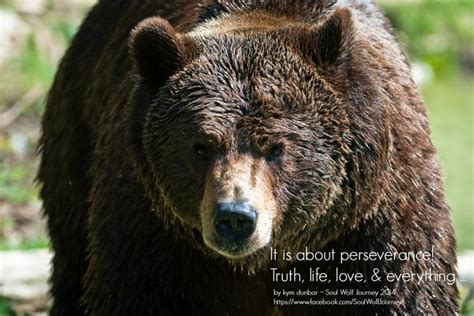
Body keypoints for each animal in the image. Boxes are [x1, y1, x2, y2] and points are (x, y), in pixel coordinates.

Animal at [39, 0, 458, 314]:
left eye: (276, 147)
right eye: (201, 145)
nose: (235, 218)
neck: (265, 259)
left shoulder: (373, 224)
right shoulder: (152, 228)